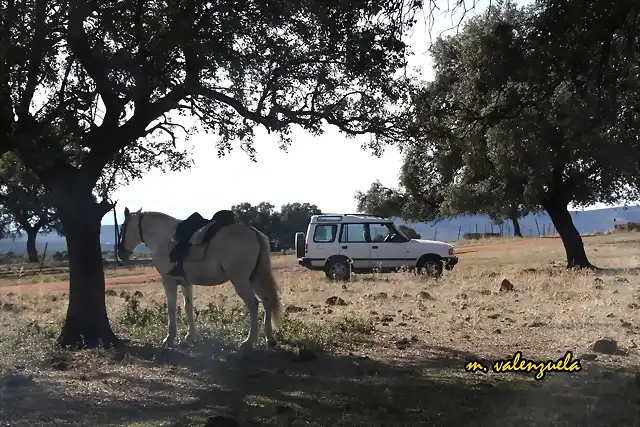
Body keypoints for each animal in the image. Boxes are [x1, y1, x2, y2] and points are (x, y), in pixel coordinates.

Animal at [114, 207, 282, 352]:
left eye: (123, 226)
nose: (121, 254)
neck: (164, 238)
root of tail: (253, 232)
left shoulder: (168, 281)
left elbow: (171, 308)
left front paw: (169, 338)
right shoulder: (185, 283)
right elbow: (188, 307)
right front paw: (190, 336)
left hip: (240, 281)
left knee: (253, 304)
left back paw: (248, 341)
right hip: (254, 278)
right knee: (267, 301)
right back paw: (270, 339)